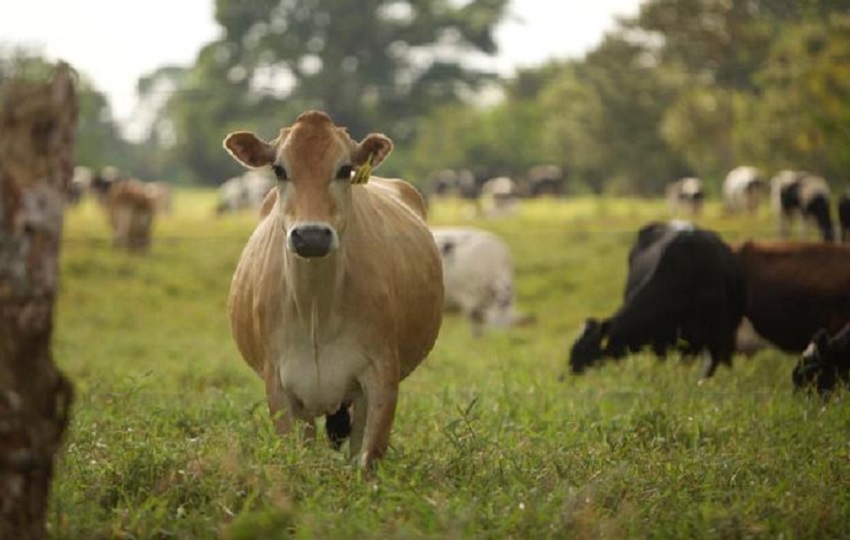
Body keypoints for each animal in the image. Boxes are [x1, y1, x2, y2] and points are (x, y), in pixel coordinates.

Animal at [225, 109, 444, 468]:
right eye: (279, 169)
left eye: (344, 169)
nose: (311, 236)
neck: (317, 306)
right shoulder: (279, 385)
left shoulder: (381, 376)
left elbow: (368, 456)